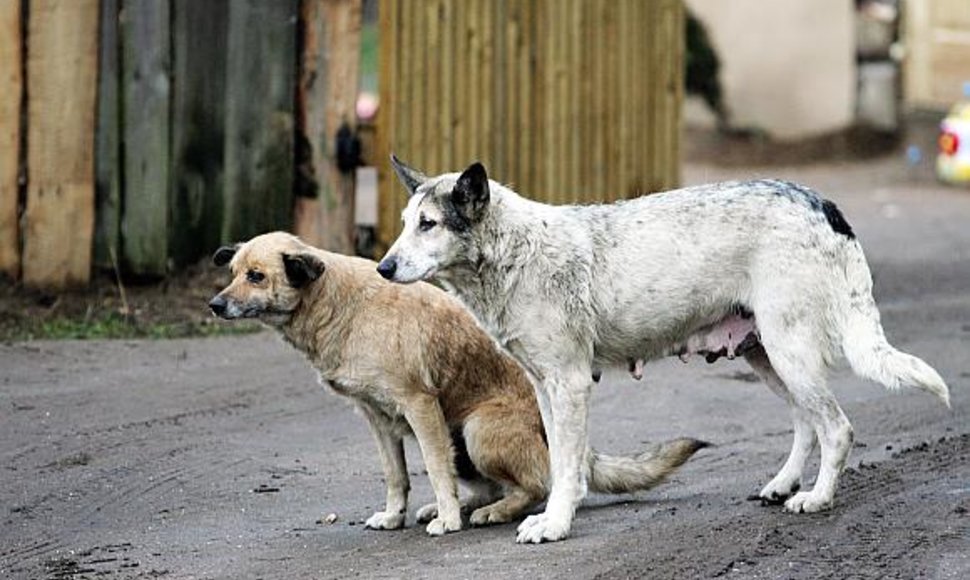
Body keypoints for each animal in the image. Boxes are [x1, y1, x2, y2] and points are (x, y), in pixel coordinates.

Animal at [208, 231, 704, 536]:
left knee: (537, 485)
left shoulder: (419, 406)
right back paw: (468, 505)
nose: (214, 305)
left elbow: (435, 470)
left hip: (477, 430)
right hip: (460, 437)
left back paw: (488, 512)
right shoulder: (378, 420)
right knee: (495, 484)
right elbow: (397, 475)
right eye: (232, 273)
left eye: (256, 276)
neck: (336, 304)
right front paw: (396, 515)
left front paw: (447, 520)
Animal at [376, 155, 944, 544]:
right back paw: (783, 484)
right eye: (405, 223)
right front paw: (557, 510)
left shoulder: (570, 384)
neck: (513, 253)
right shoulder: (544, 388)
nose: (382, 268)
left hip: (790, 354)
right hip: (770, 359)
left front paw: (555, 523)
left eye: (429, 225)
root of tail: (821, 204)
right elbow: (560, 462)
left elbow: (567, 465)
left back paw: (817, 498)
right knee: (807, 423)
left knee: (837, 428)